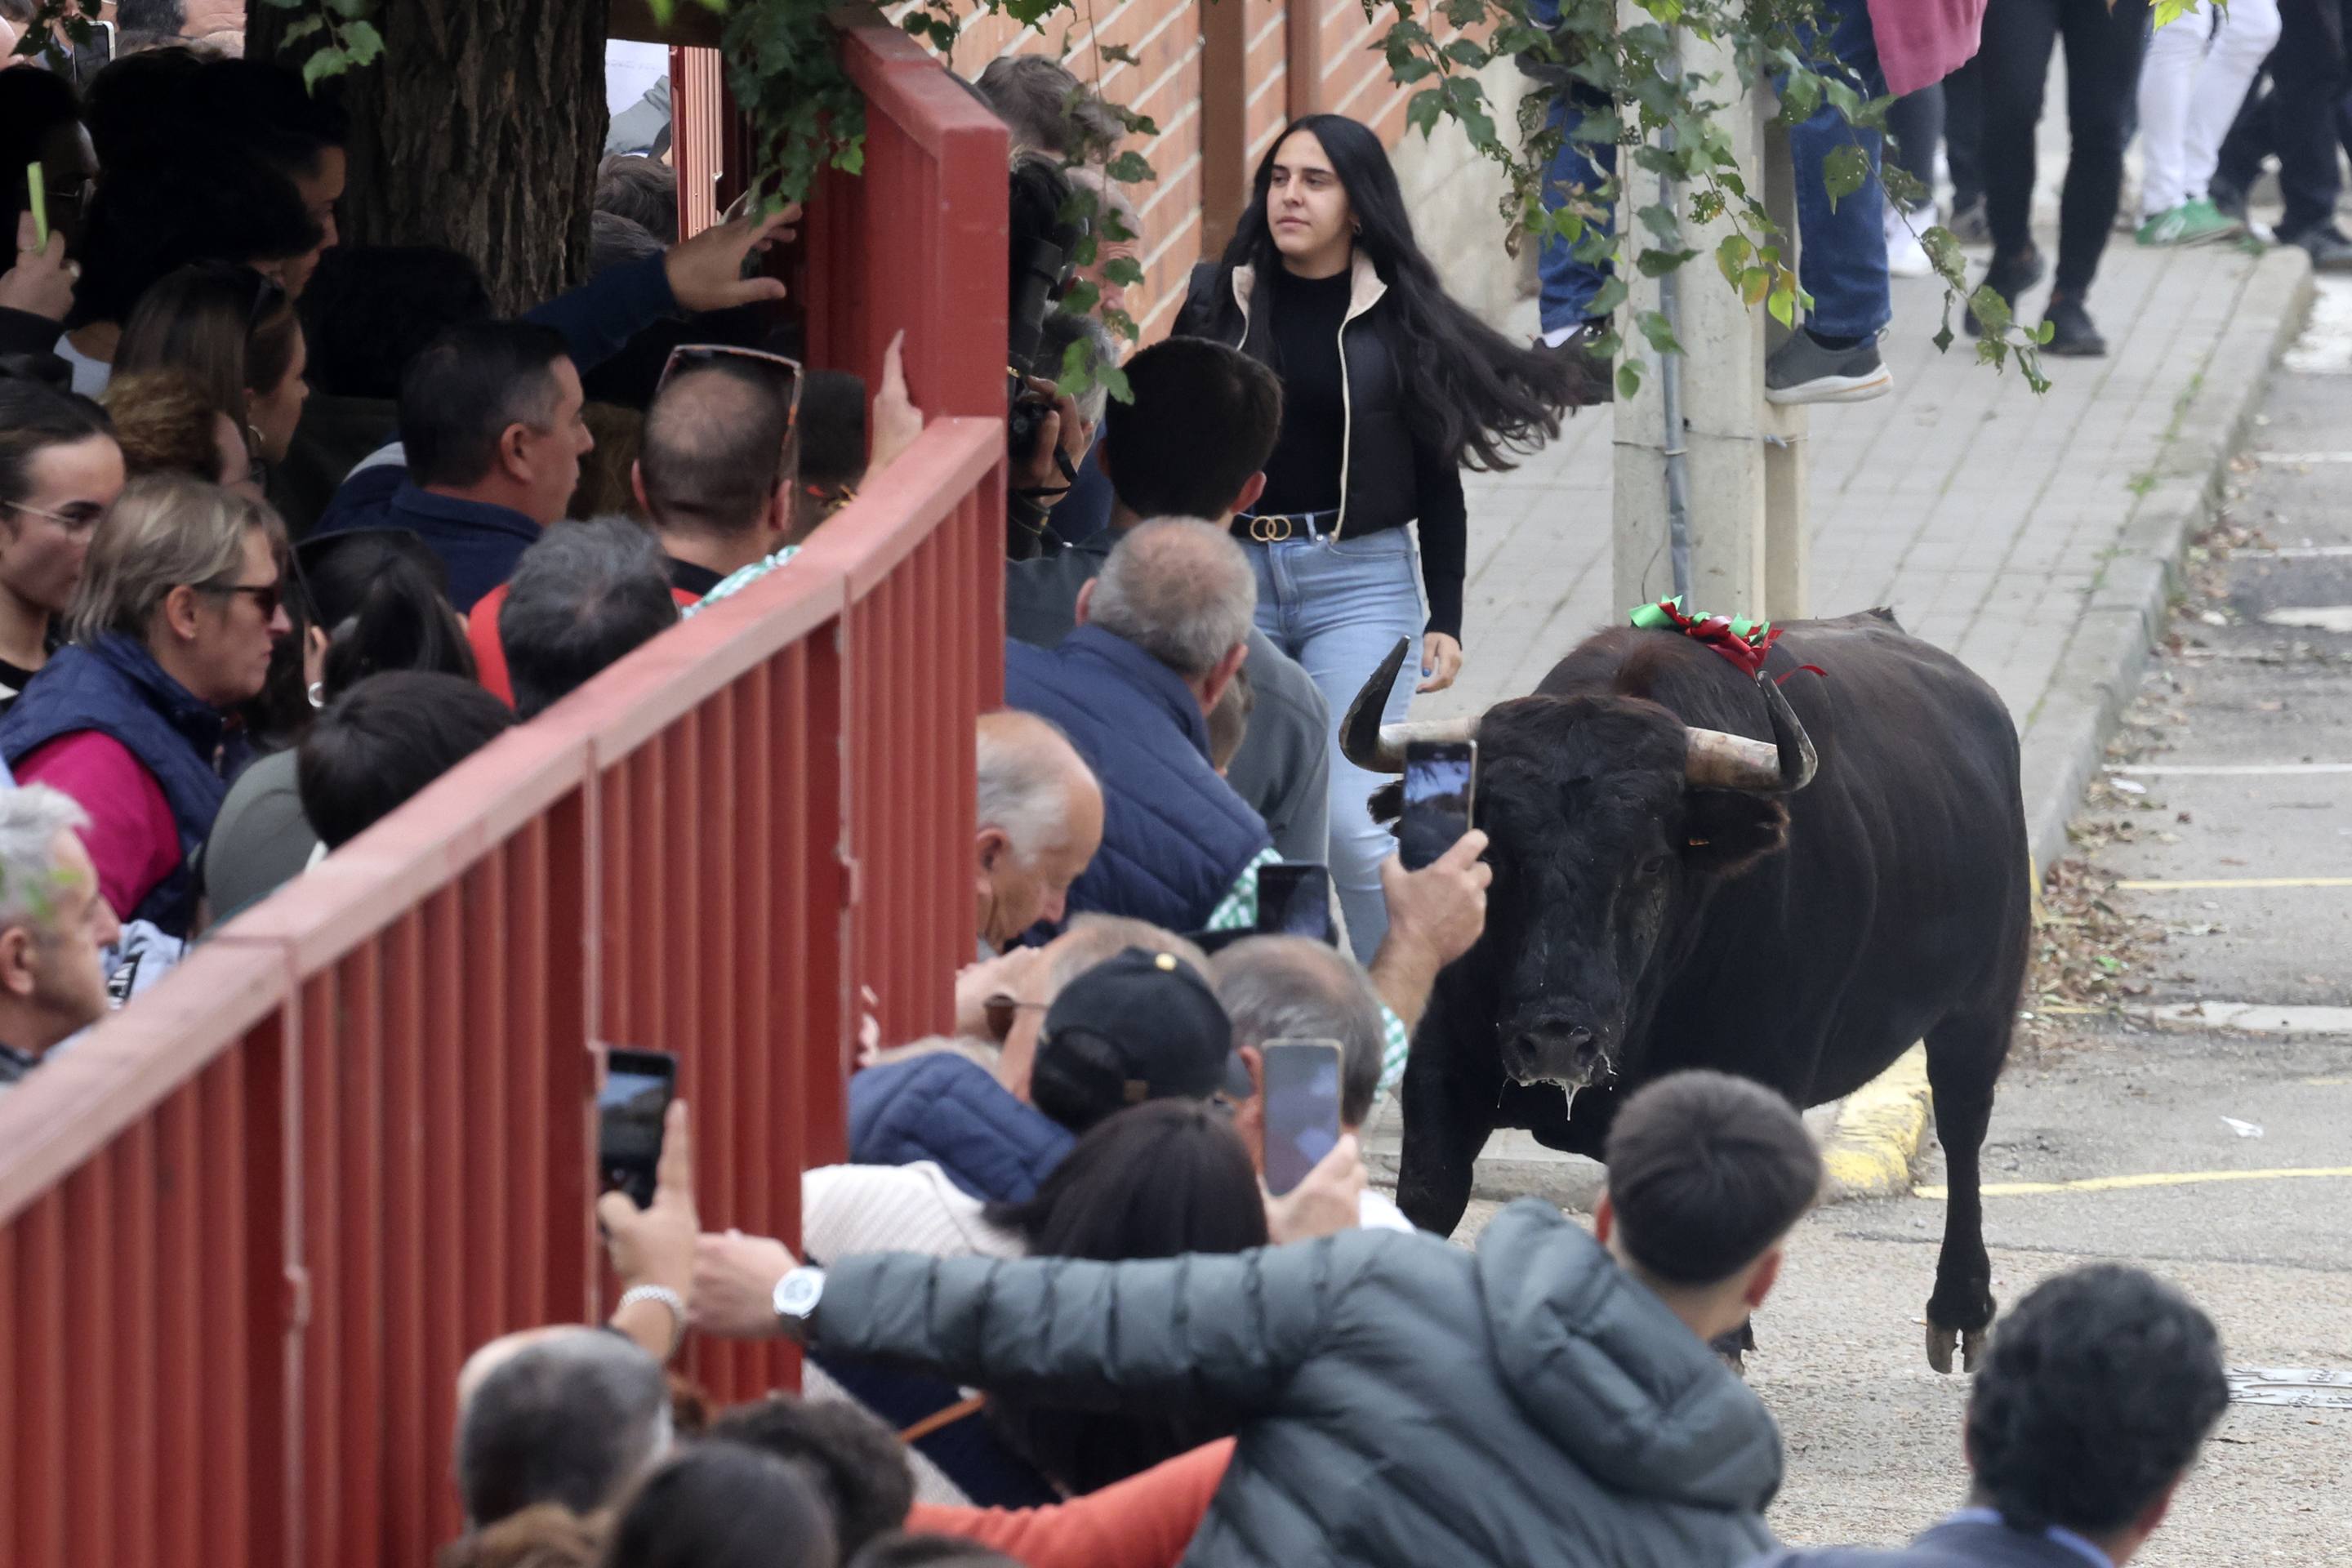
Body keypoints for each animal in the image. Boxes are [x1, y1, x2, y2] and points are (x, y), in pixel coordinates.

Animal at [1354, 611, 2032, 1373]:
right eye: (1494, 854)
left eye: (1651, 864)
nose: (1556, 1039)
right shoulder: (1440, 1066)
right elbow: (1431, 1196)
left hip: (1980, 1010)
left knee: (1963, 1130)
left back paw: (1960, 1308)